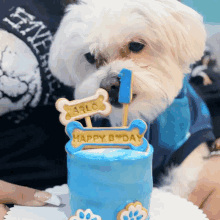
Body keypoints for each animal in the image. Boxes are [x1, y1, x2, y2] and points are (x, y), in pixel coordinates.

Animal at [49, 0, 211, 199]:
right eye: (90, 57)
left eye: (135, 45)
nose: (109, 84)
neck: (140, 112)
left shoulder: (189, 140)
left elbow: (180, 179)